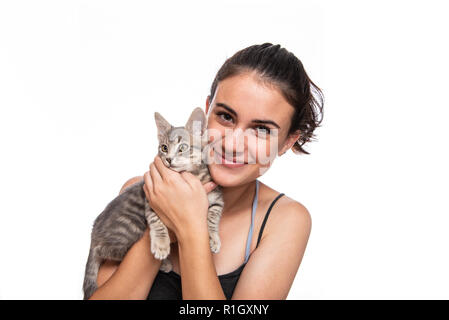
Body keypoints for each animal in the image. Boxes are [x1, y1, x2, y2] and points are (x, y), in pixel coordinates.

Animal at [82, 107, 222, 300]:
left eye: (182, 148)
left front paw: (213, 238)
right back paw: (164, 263)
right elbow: (158, 222)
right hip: (130, 228)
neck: (194, 176)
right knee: (110, 251)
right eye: (164, 148)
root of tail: (94, 234)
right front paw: (162, 245)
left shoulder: (217, 198)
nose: (168, 159)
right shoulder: (152, 200)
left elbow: (213, 217)